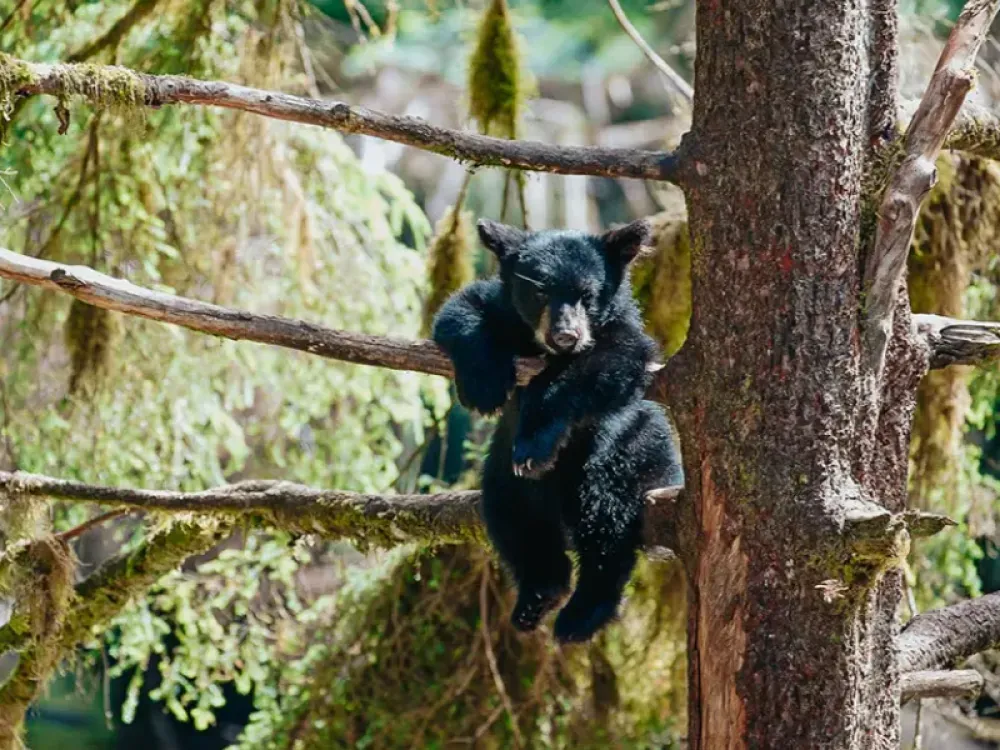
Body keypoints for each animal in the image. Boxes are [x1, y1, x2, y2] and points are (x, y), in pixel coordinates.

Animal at [431, 217, 683, 644]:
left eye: (588, 295)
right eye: (540, 292)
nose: (566, 335)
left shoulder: (621, 334)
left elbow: (609, 362)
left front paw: (536, 443)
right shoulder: (505, 310)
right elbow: (461, 309)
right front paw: (484, 384)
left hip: (630, 449)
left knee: (605, 516)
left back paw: (582, 614)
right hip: (502, 475)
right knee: (512, 516)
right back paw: (538, 595)